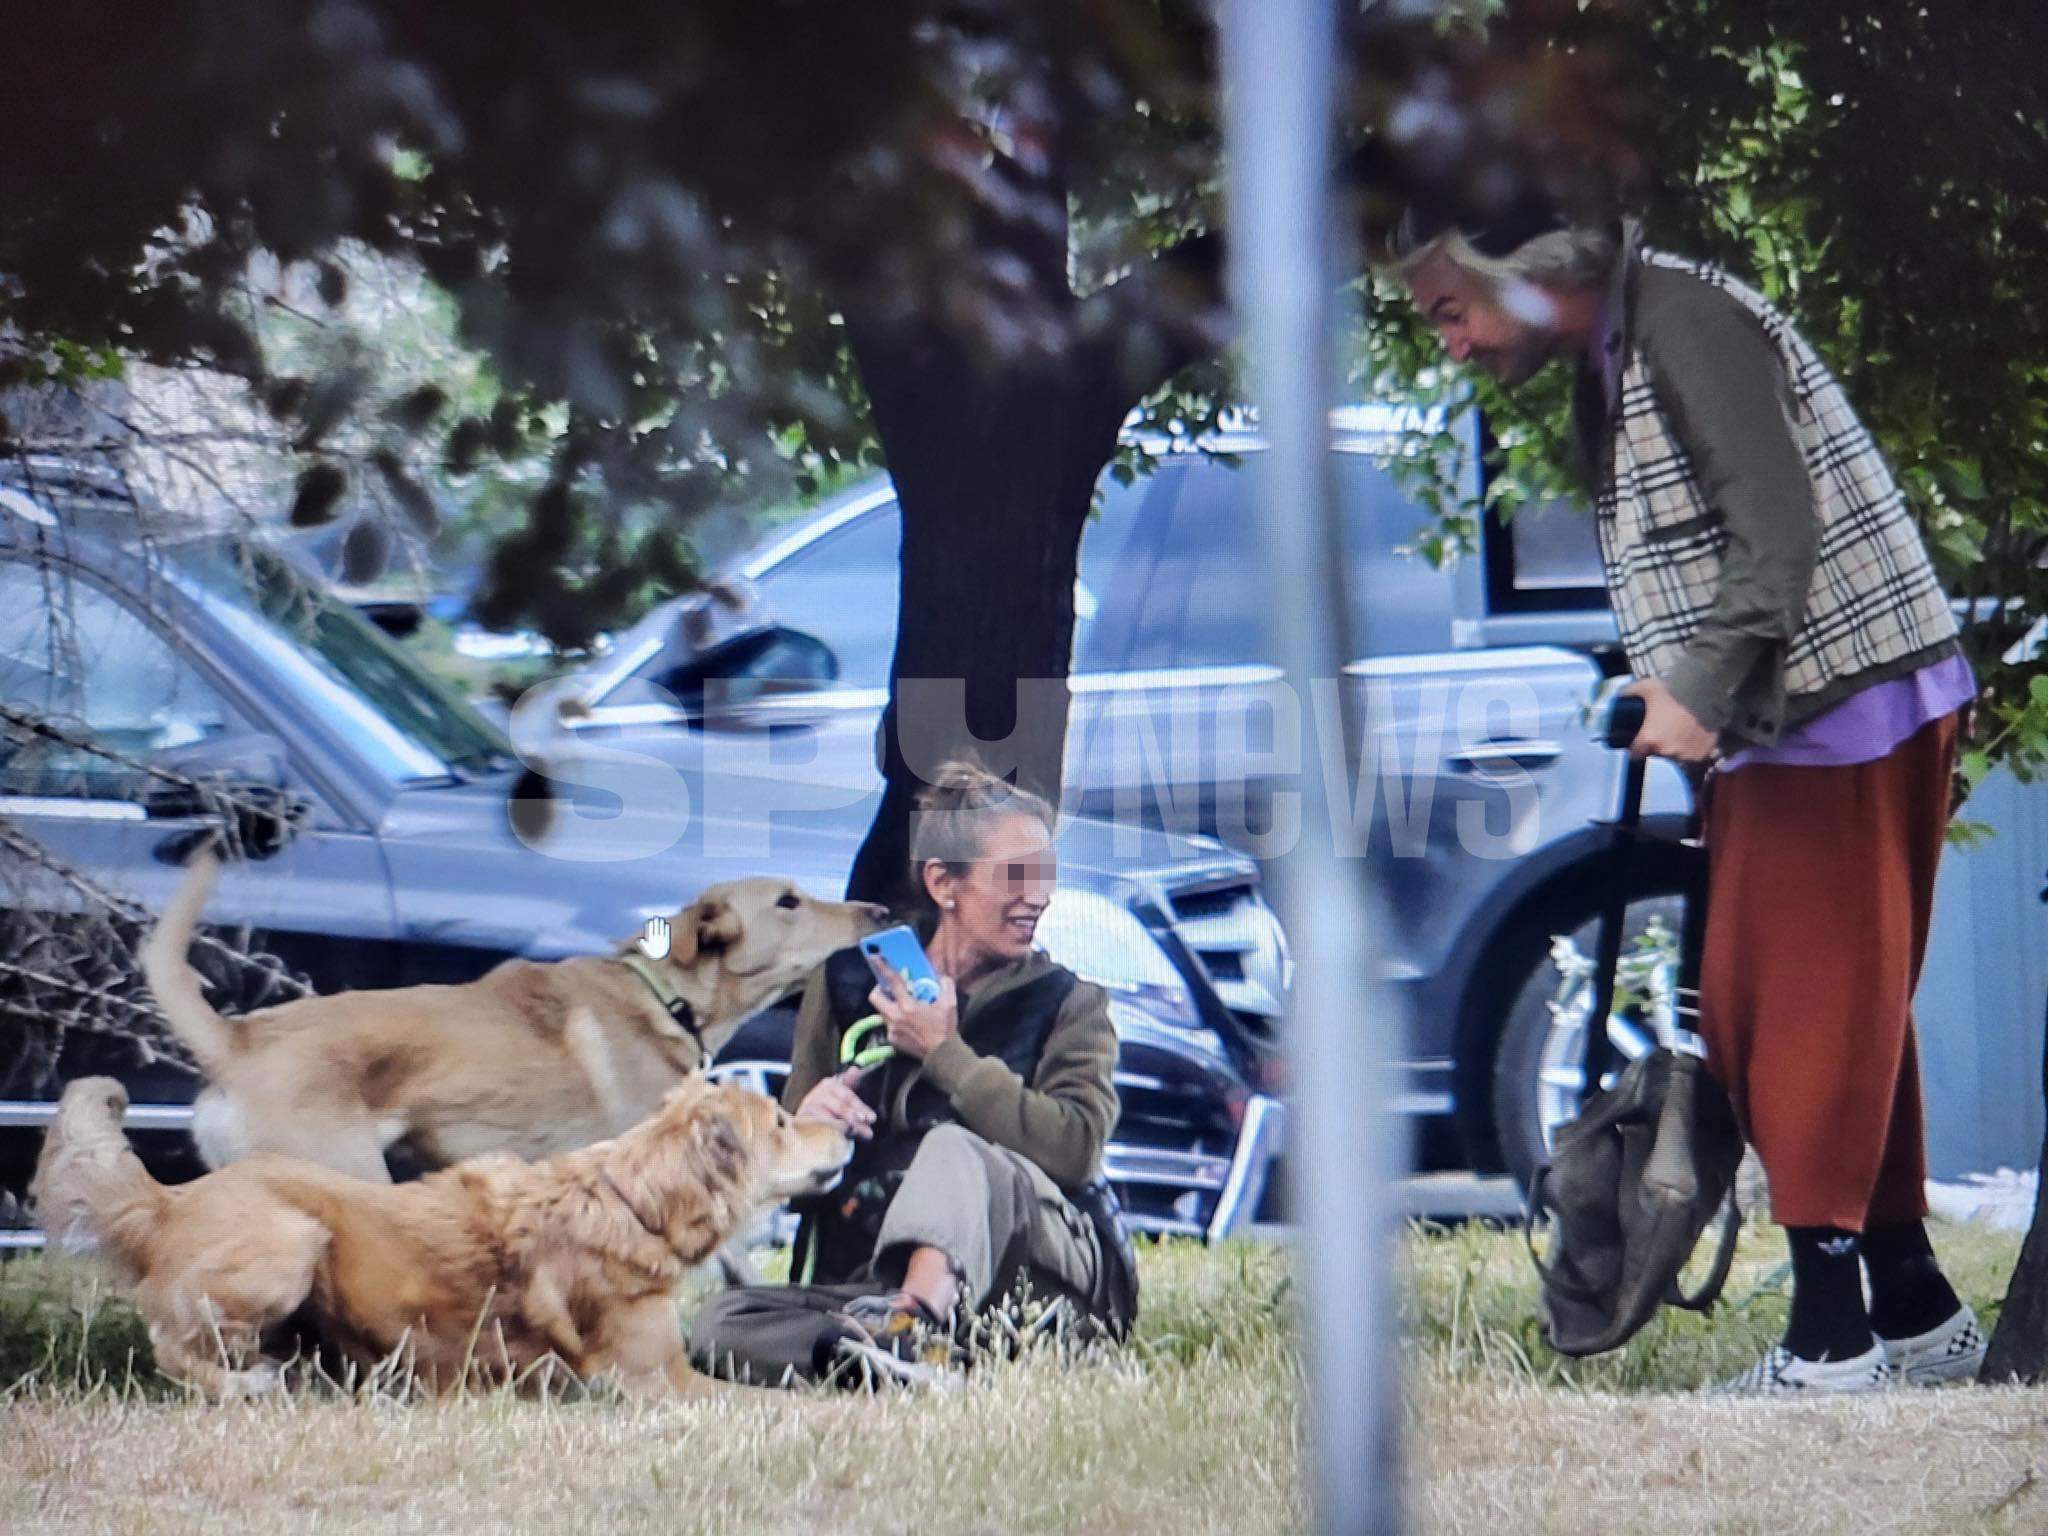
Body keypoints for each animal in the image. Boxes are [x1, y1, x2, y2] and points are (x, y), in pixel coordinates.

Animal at [32, 1073, 847, 1400]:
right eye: (781, 1121)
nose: (846, 1127)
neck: (633, 1199)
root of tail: (168, 1201)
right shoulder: (657, 1382)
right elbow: (789, 1404)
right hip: (294, 1239)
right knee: (171, 1345)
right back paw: (246, 1385)